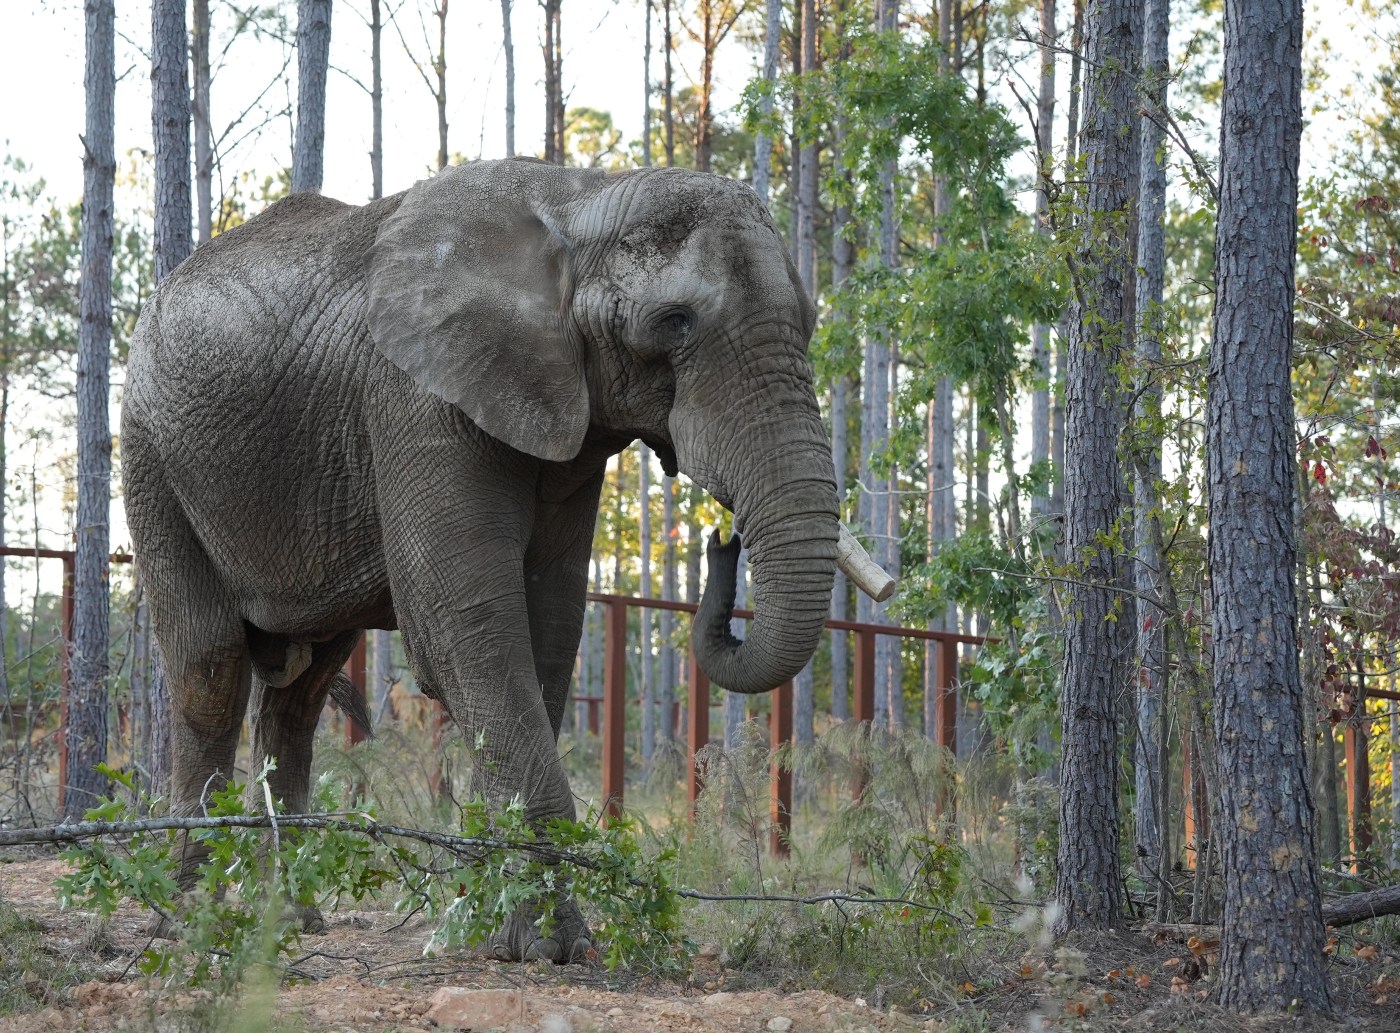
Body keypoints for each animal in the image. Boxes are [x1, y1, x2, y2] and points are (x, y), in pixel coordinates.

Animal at [123, 156, 851, 963]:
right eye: (674, 322)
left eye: (811, 323)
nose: (723, 542)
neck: (581, 196)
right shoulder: (416, 394)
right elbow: (466, 630)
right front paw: (552, 944)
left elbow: (549, 628)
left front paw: (492, 925)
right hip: (150, 446)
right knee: (210, 665)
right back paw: (188, 921)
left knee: (300, 692)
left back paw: (289, 922)